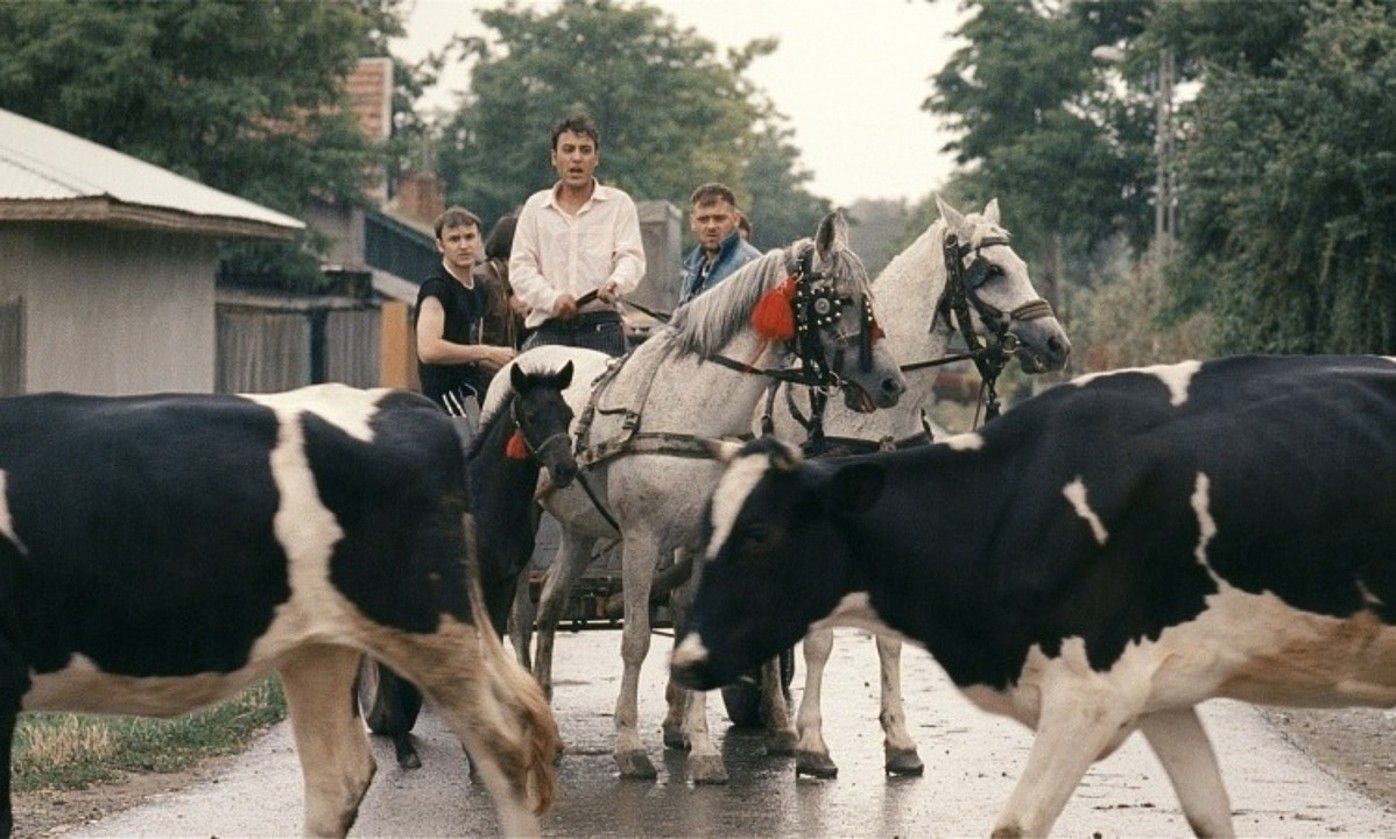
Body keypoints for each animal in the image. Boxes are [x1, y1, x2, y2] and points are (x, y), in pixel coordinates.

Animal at [360, 360, 577, 765]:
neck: (485, 503)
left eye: (568, 413)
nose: (565, 469)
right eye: (531, 415)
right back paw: (401, 743)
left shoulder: (504, 581)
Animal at [499, 212, 904, 781]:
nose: (891, 383)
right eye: (838, 301)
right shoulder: (643, 539)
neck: (694, 415)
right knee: (519, 616)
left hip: (580, 528)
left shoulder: (697, 540)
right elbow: (636, 639)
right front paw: (631, 746)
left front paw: (702, 747)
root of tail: (528, 359)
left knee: (551, 606)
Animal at [672, 354, 1396, 837]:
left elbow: (1015, 826)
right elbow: (1212, 818)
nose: (685, 660)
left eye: (759, 533)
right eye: (705, 527)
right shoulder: (1162, 693)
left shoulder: (1090, 694)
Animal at [770, 196, 1072, 776]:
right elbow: (820, 642)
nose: (1057, 344)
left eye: (1021, 263)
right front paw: (813, 745)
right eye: (991, 271)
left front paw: (900, 740)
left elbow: (889, 641)